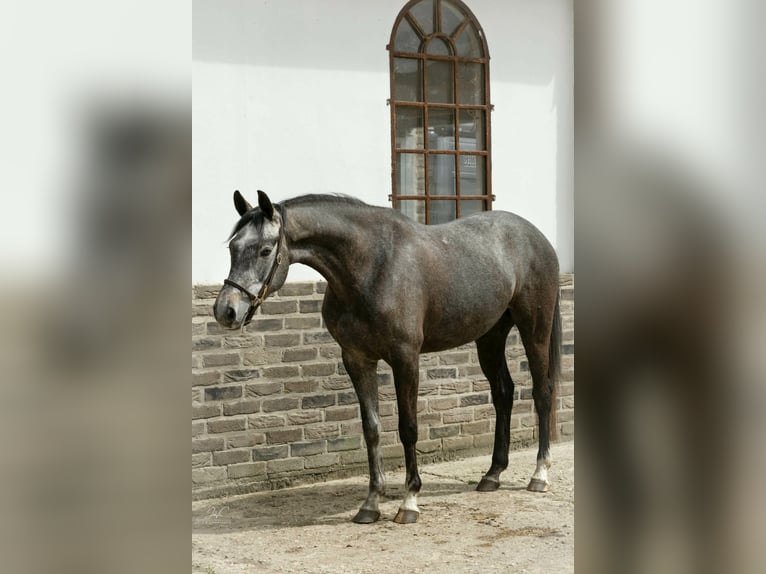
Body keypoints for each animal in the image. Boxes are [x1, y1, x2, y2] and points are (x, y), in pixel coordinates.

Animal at [214, 190, 561, 524]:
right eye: (233, 247)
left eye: (265, 250)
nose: (226, 310)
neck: (371, 267)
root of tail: (537, 237)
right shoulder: (357, 359)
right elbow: (372, 429)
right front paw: (371, 503)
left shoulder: (405, 359)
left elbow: (408, 428)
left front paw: (410, 502)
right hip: (490, 336)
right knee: (503, 393)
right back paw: (492, 474)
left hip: (535, 329)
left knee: (542, 392)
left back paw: (540, 474)